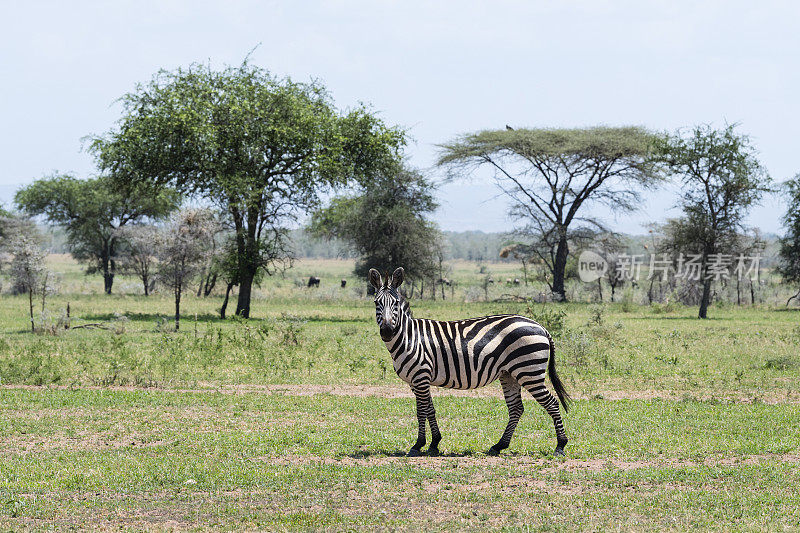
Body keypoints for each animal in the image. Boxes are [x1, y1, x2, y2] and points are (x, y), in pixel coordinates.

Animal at [368, 266, 568, 458]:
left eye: (395, 303)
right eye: (377, 303)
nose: (387, 331)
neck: (410, 337)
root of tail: (540, 326)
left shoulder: (420, 376)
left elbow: (421, 411)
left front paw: (418, 445)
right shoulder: (417, 381)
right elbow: (430, 409)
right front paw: (434, 443)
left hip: (529, 371)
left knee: (551, 403)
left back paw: (560, 445)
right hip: (509, 374)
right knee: (516, 408)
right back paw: (499, 446)